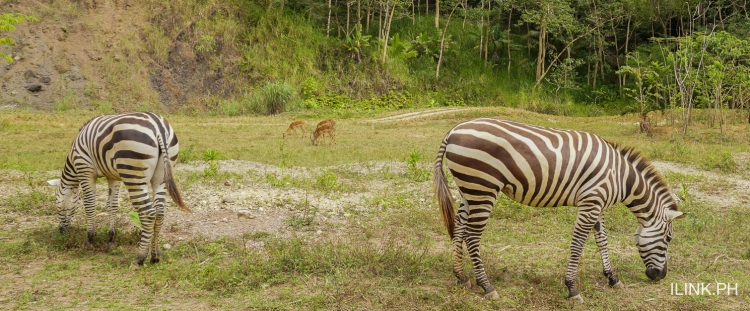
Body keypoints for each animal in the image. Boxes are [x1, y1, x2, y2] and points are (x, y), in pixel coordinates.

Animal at [47, 112, 191, 268]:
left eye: (58, 206)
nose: (61, 232)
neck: (73, 162)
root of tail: (159, 127)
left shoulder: (85, 170)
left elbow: (90, 205)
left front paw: (89, 239)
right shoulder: (113, 176)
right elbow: (112, 205)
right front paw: (111, 238)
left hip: (133, 173)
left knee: (148, 213)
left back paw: (140, 258)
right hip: (161, 177)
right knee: (160, 213)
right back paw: (155, 256)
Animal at [434, 118, 688, 304]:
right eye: (669, 238)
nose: (660, 277)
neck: (621, 177)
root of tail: (454, 130)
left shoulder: (597, 204)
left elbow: (602, 241)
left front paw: (613, 278)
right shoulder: (590, 203)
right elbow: (578, 245)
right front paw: (572, 289)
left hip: (470, 190)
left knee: (459, 227)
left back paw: (461, 276)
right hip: (483, 188)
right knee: (472, 236)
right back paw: (487, 286)